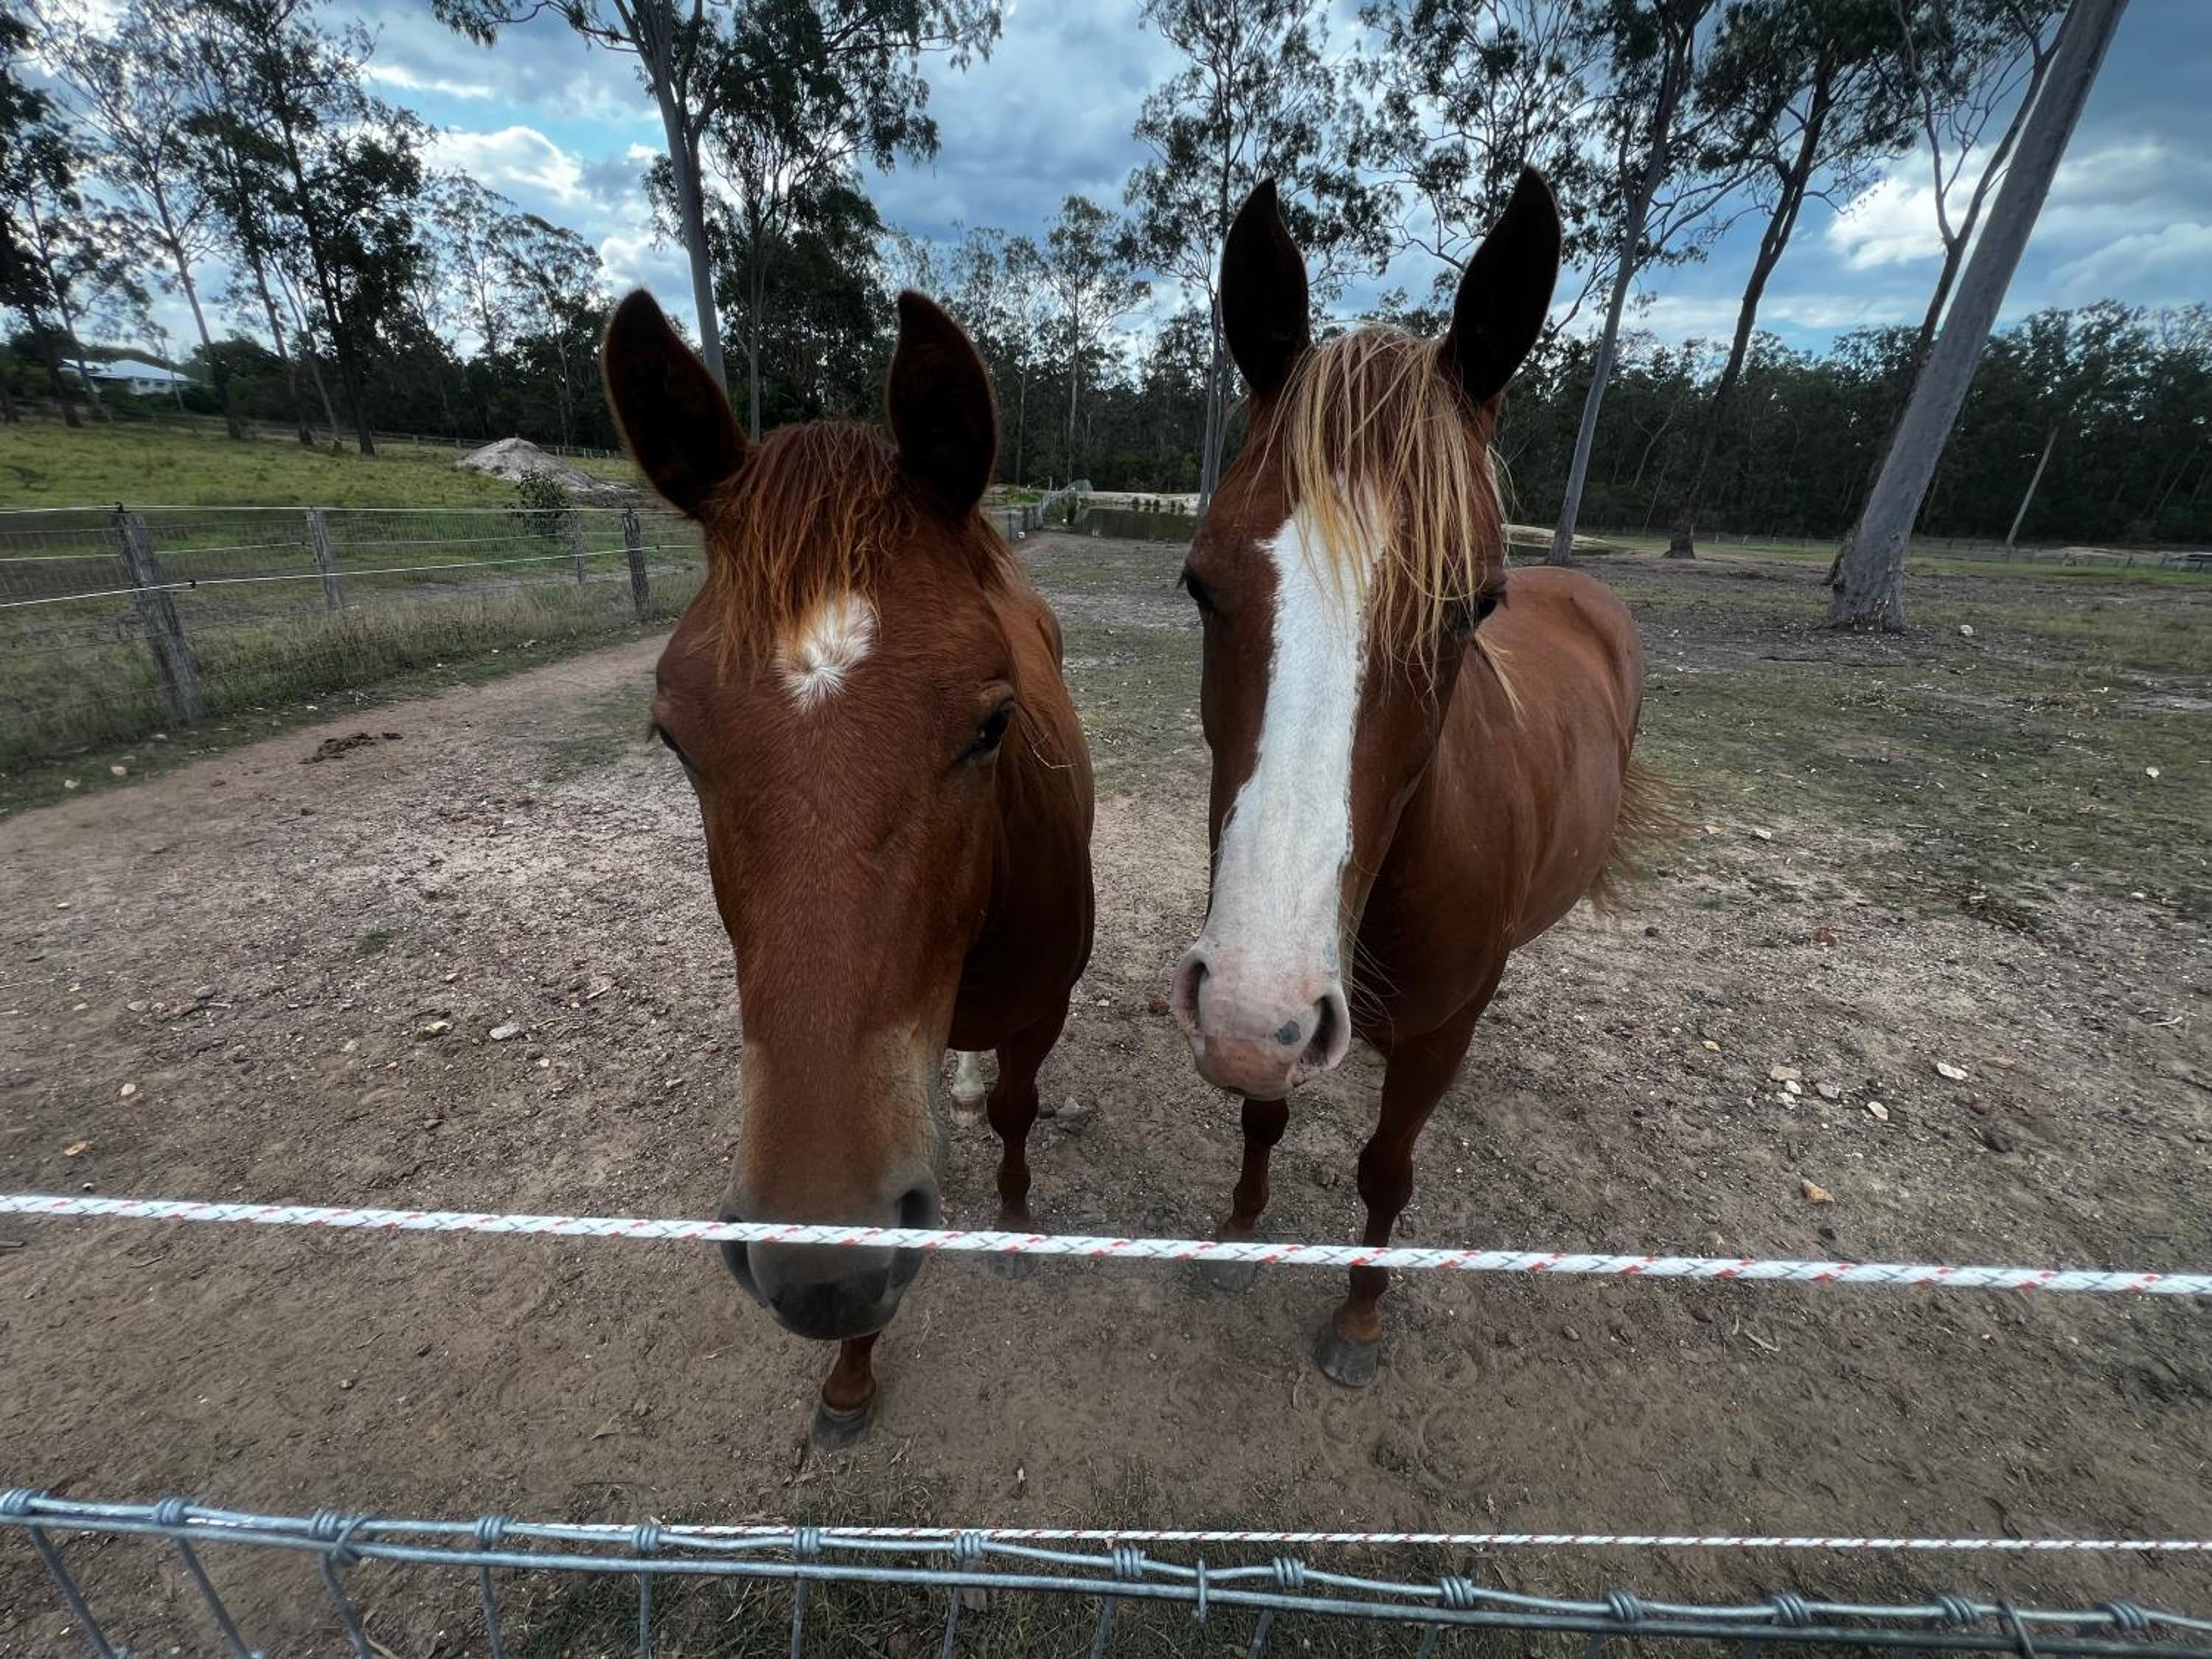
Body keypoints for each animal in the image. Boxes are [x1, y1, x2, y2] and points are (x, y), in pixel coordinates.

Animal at [600, 288, 1095, 1446]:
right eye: (674, 739)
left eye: (994, 724)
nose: (818, 1262)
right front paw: (850, 1371)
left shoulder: (1042, 1009)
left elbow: (1018, 1112)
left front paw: (1014, 1221)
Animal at [1168, 171, 1662, 1387]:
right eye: (1201, 585)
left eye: (1469, 605)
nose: (1251, 1004)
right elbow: (1262, 1115)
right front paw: (1236, 1236)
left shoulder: (1434, 1039)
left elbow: (1386, 1169)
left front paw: (1359, 1316)